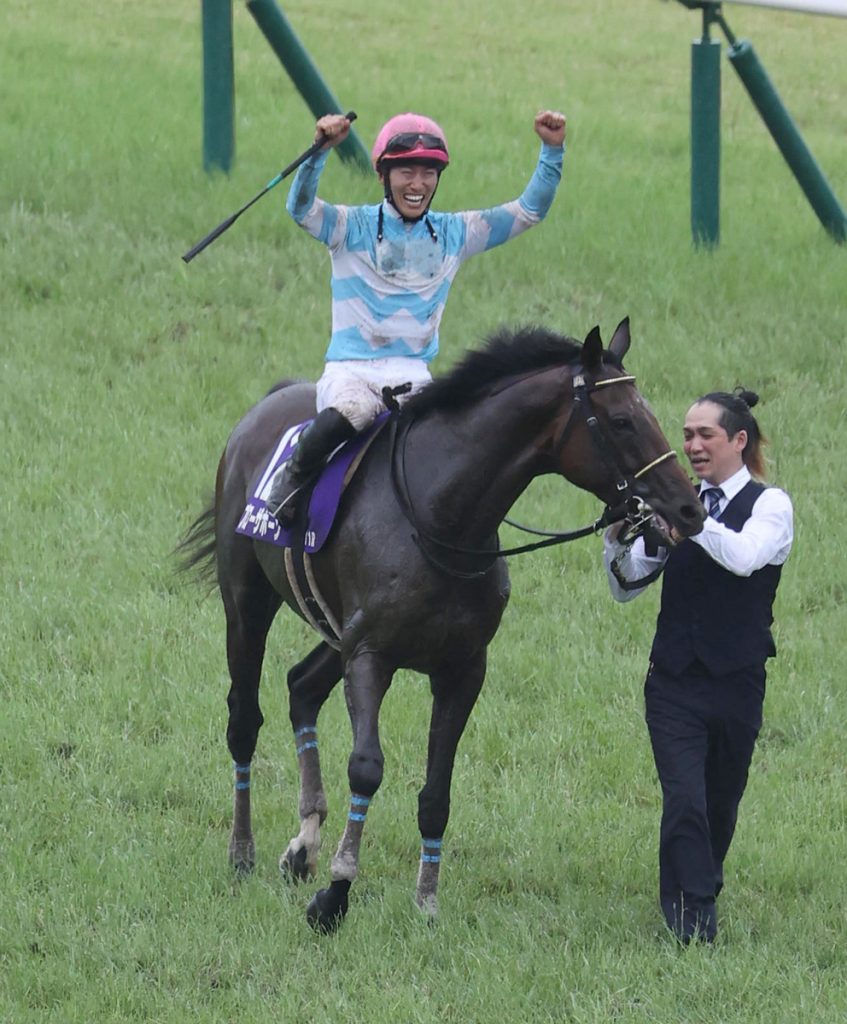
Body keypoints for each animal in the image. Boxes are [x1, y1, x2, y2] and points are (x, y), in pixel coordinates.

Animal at [182, 315, 704, 933]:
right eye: (623, 420)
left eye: (651, 415)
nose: (690, 508)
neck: (439, 518)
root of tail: (268, 403)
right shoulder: (371, 657)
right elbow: (366, 768)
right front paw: (336, 894)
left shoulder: (461, 669)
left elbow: (437, 794)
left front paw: (426, 902)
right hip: (248, 603)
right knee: (244, 718)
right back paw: (243, 852)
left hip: (336, 630)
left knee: (301, 687)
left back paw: (303, 844)